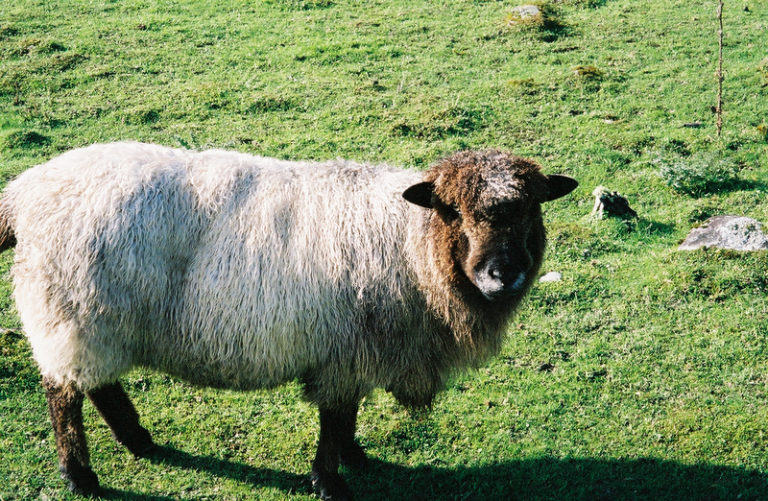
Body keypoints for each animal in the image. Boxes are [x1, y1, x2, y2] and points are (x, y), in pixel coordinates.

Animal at [0, 142, 576, 500]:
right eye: (451, 210)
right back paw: (80, 475)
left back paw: (139, 441)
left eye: (531, 208)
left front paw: (354, 458)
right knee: (64, 395)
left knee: (100, 386)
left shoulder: (350, 352)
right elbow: (334, 417)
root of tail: (26, 191)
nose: (503, 275)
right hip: (70, 314)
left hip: (95, 323)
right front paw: (330, 480)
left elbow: (345, 416)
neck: (409, 245)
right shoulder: (345, 351)